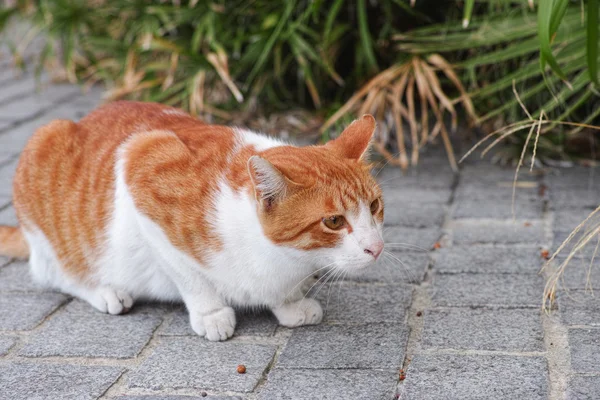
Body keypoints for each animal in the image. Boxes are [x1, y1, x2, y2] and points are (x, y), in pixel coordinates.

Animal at [0, 101, 384, 342]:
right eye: (333, 221)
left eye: (375, 205)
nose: (377, 248)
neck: (283, 258)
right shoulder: (142, 166)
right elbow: (189, 275)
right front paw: (210, 313)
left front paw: (289, 302)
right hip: (45, 154)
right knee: (52, 272)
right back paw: (104, 290)